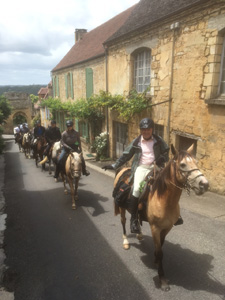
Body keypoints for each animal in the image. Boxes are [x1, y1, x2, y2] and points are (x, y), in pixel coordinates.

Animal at [113, 144, 208, 292]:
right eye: (183, 164)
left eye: (196, 162)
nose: (204, 184)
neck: (163, 198)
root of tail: (124, 169)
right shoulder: (155, 228)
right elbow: (160, 252)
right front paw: (162, 279)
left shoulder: (166, 228)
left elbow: (161, 248)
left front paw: (156, 261)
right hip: (122, 209)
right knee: (123, 222)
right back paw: (126, 241)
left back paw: (139, 234)